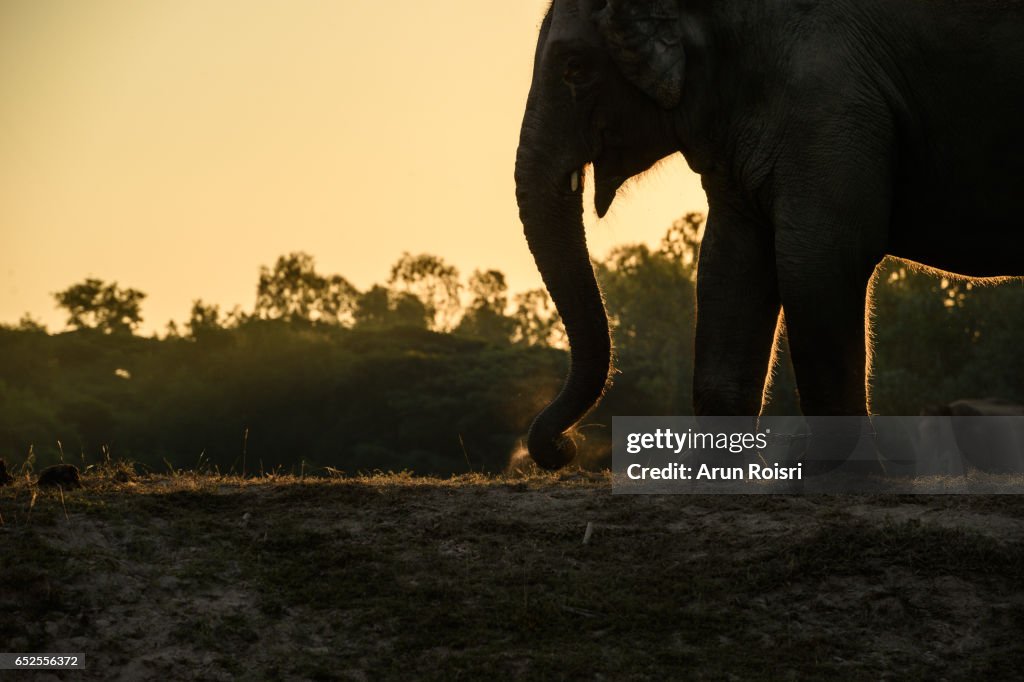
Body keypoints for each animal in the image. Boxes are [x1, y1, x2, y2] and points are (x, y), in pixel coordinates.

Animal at [514, 0, 1024, 469]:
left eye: (575, 68)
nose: (563, 448)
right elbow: (729, 262)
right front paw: (715, 478)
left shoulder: (829, 103)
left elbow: (821, 262)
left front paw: (828, 476)